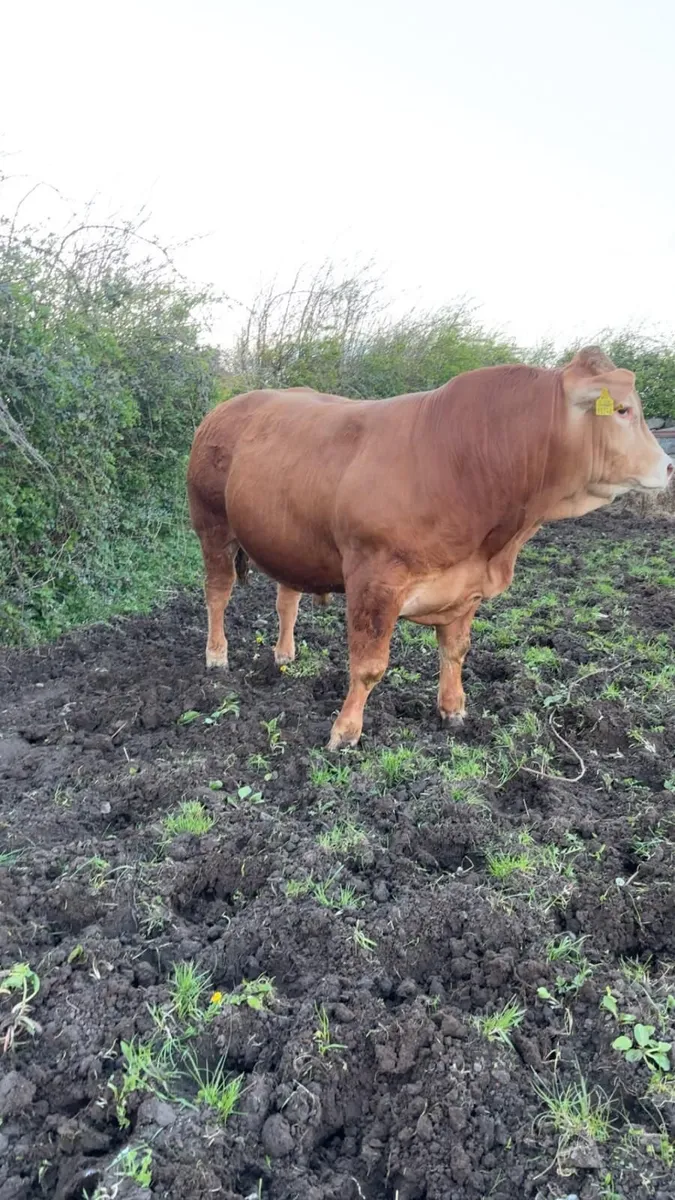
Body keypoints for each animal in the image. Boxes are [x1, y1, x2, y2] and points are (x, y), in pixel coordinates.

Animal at [187, 348, 672, 750]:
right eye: (623, 410)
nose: (668, 466)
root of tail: (226, 407)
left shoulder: (466, 586)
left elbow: (455, 651)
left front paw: (453, 709)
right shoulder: (375, 581)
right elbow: (369, 665)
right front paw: (345, 732)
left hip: (288, 540)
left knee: (287, 596)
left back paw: (285, 654)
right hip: (211, 525)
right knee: (218, 593)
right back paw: (216, 656)